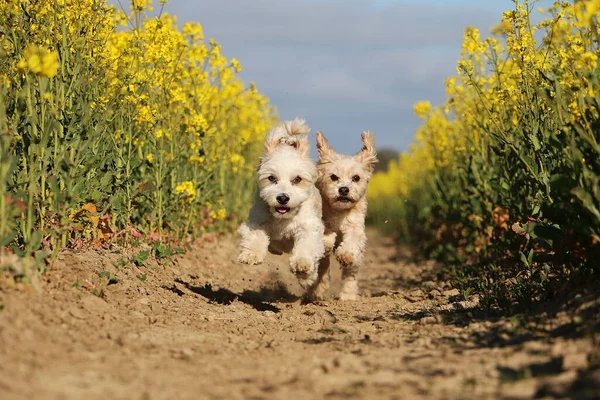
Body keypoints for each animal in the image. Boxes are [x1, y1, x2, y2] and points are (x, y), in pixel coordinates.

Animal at [237, 119, 326, 290]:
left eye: (297, 179)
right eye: (272, 178)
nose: (283, 198)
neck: (283, 219)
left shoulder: (309, 228)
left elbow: (307, 246)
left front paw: (302, 265)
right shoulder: (258, 220)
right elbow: (256, 235)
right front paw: (252, 254)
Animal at [310, 130, 380, 300]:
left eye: (356, 178)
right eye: (334, 177)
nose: (343, 189)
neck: (339, 212)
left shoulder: (356, 227)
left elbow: (352, 240)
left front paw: (345, 254)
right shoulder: (321, 219)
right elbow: (325, 232)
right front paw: (327, 241)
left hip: (356, 261)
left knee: (350, 274)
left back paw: (347, 295)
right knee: (323, 269)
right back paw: (318, 291)